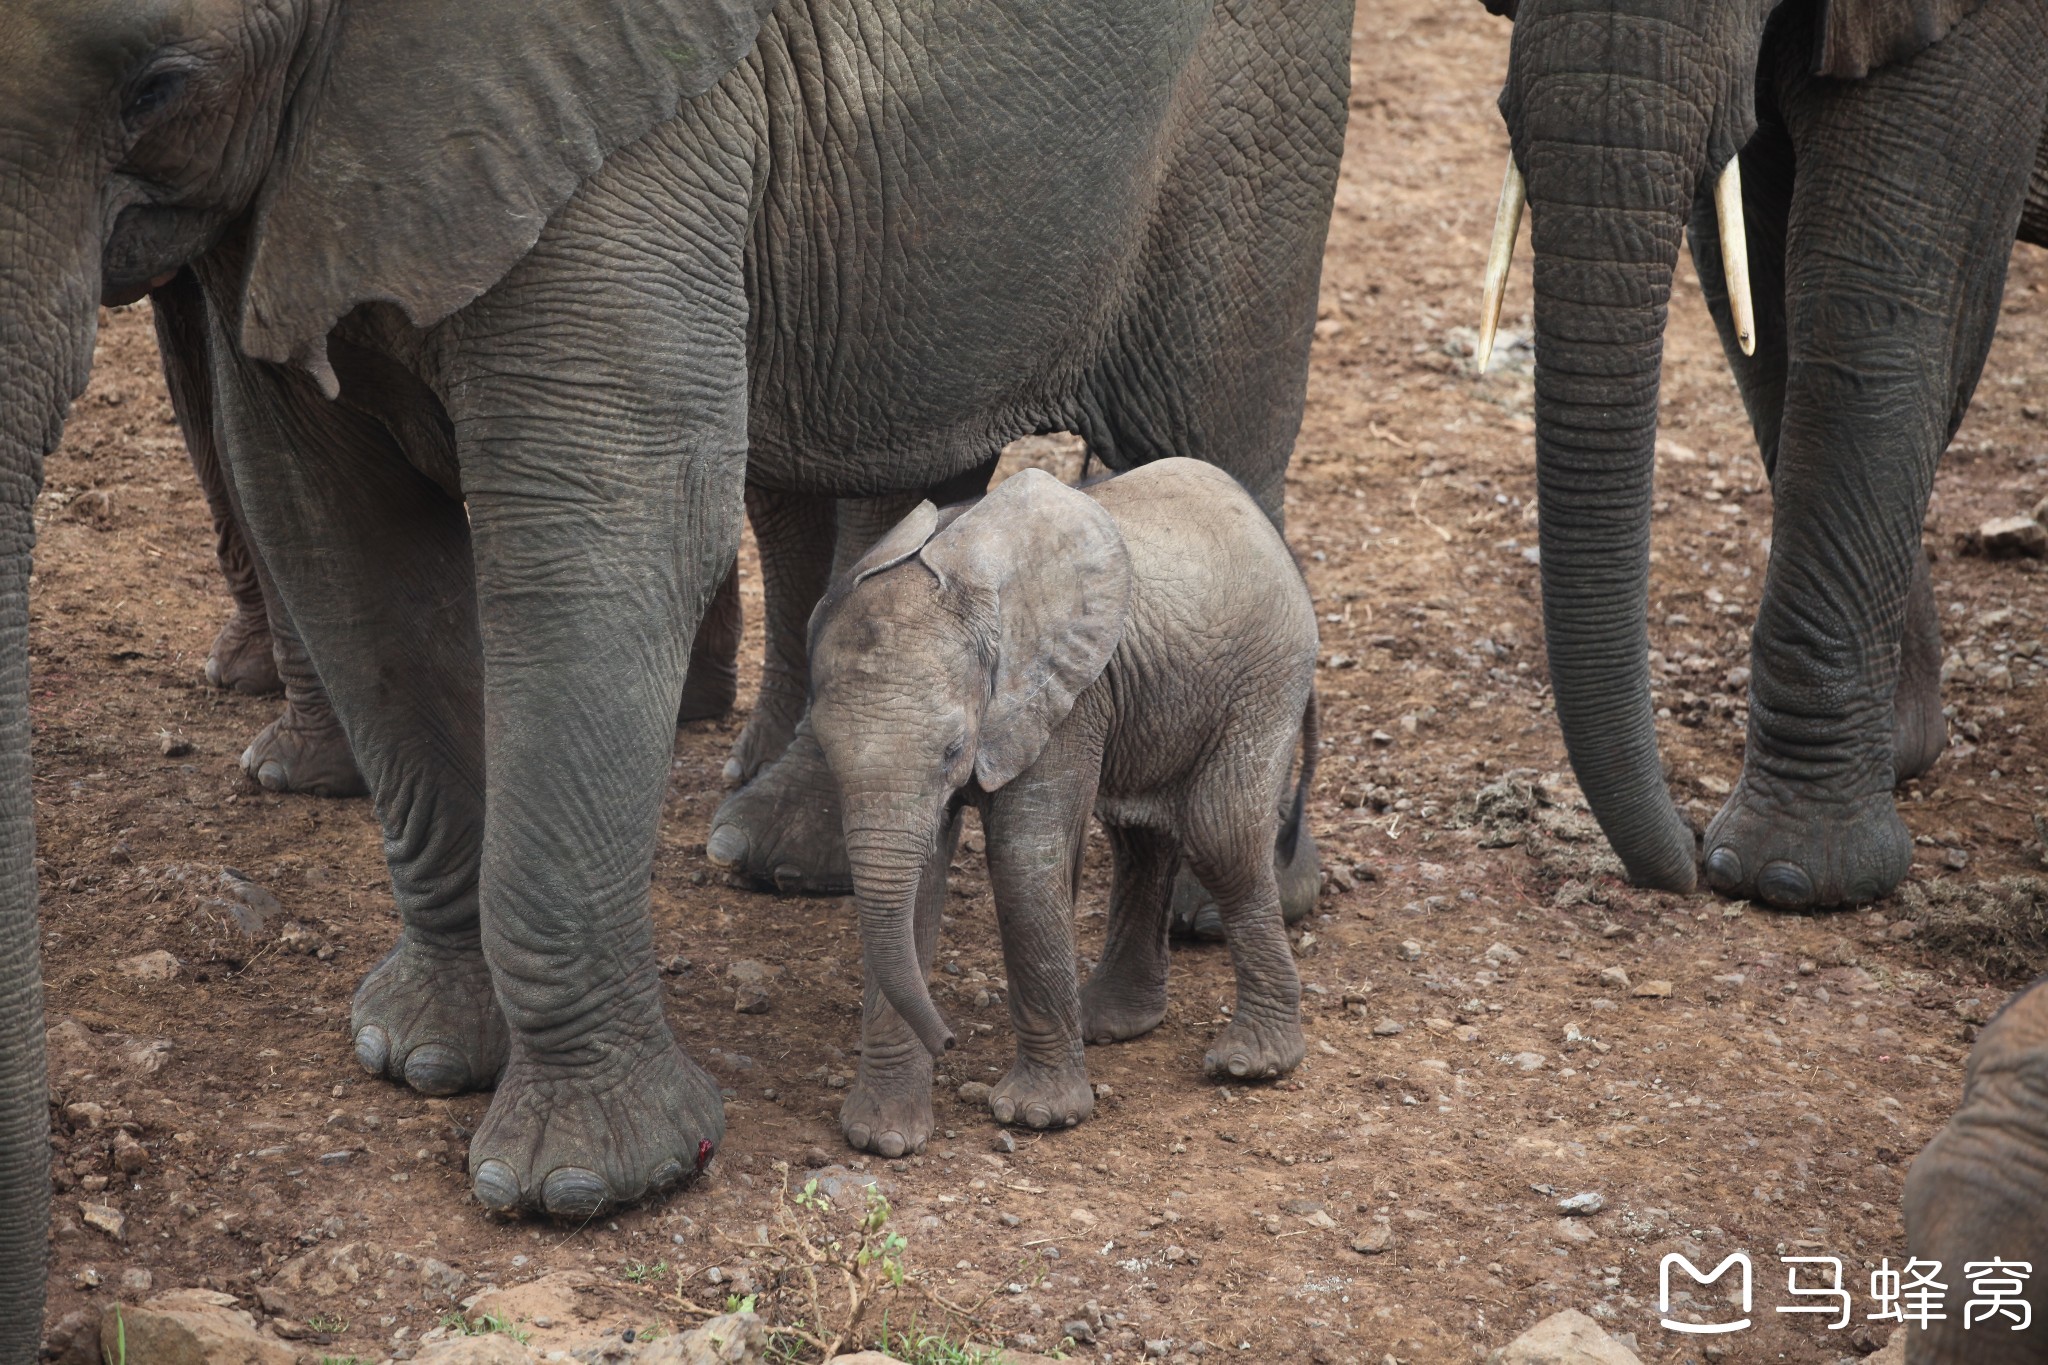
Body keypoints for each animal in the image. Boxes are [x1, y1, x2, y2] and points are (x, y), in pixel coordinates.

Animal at [806, 458, 1318, 1154]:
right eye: (826, 753)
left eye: (952, 750)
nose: (950, 1039)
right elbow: (919, 884)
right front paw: (880, 1139)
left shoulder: (1066, 696)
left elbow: (1024, 861)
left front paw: (1036, 1117)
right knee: (1142, 837)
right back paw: (1108, 1024)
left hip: (1265, 676)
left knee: (1223, 839)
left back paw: (1252, 1064)